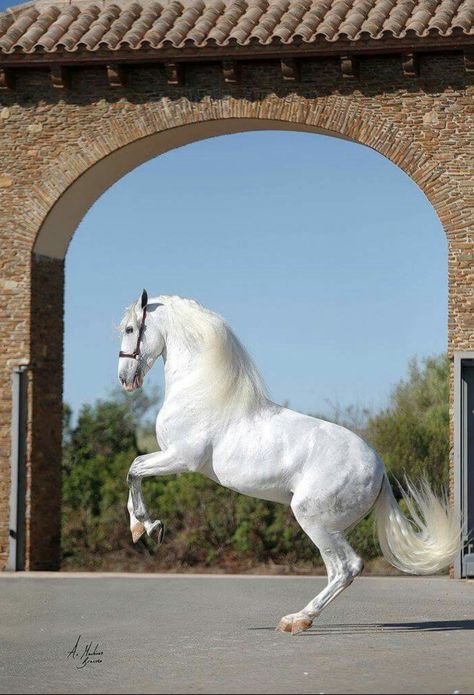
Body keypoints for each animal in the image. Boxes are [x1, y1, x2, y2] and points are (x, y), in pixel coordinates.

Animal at [117, 290, 460, 636]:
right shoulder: (172, 457)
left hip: (313, 519)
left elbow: (134, 469)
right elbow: (134, 472)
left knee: (346, 568)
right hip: (332, 528)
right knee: (337, 569)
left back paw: (296, 620)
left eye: (130, 329)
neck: (201, 394)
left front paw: (149, 526)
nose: (125, 379)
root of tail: (379, 468)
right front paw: (141, 528)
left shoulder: (181, 458)